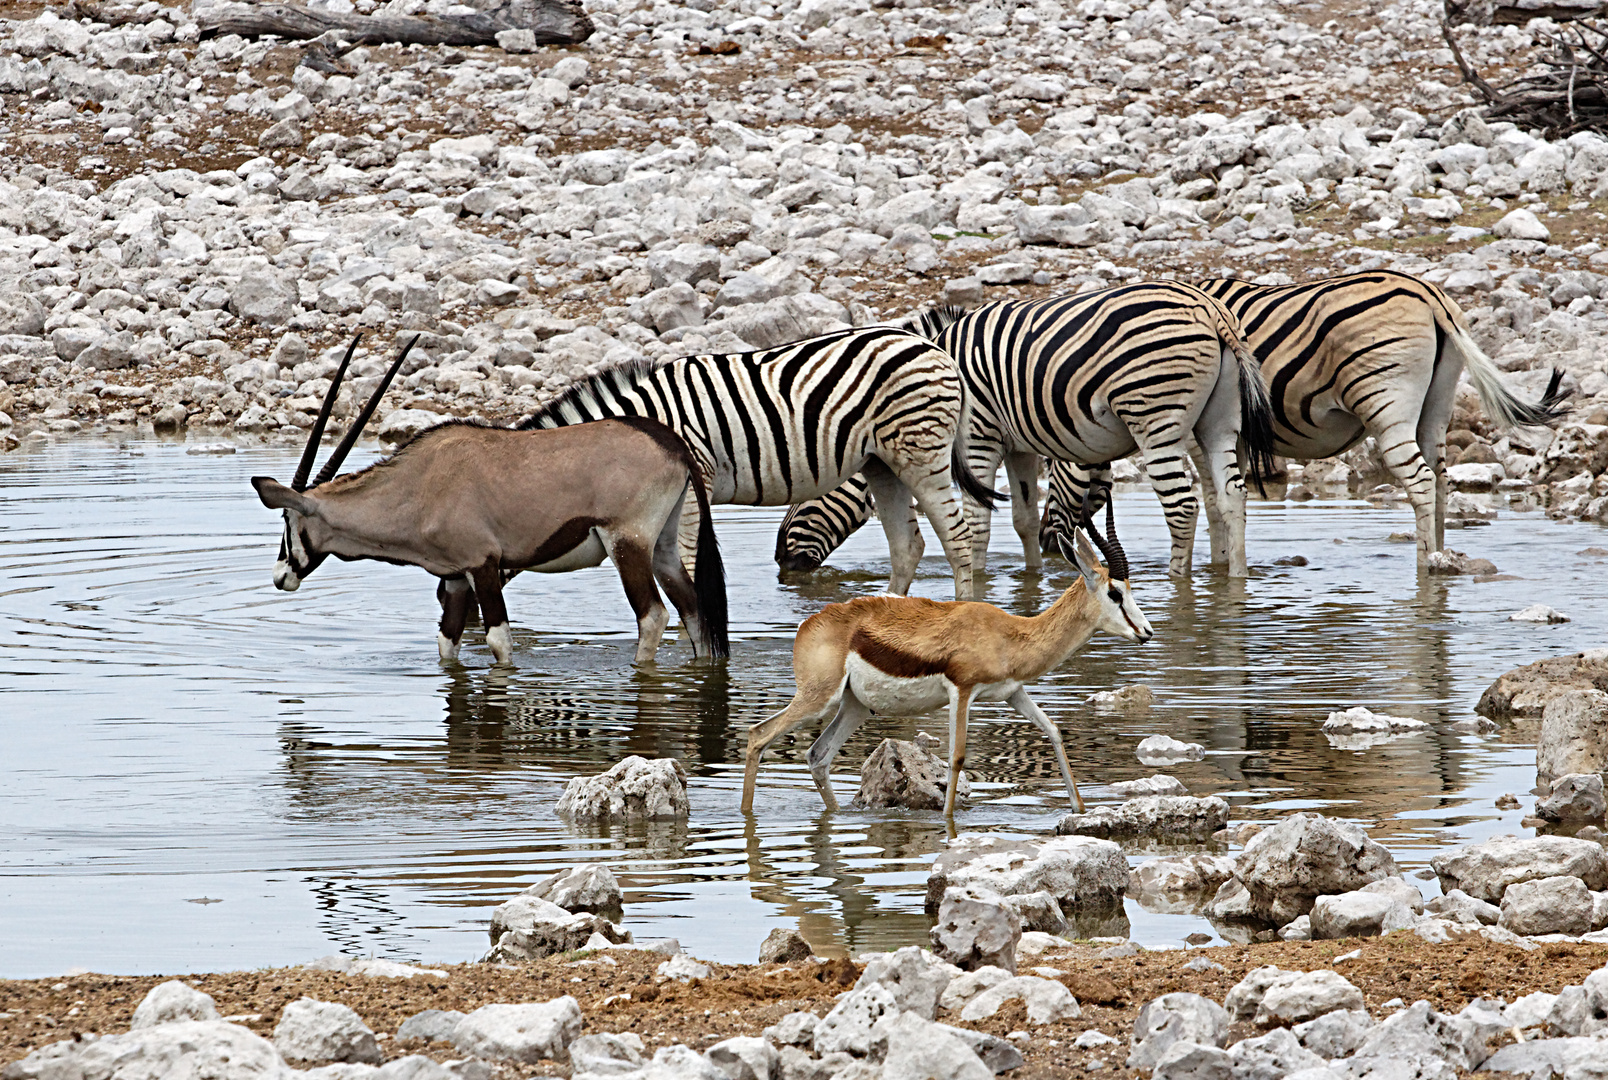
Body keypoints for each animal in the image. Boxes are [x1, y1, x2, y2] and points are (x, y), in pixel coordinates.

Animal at [514, 324, 996, 604]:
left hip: (920, 452)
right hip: (882, 462)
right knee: (907, 546)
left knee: (957, 537)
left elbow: (686, 565)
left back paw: (965, 615)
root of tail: (935, 348)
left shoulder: (694, 485)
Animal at [771, 282, 1273, 578]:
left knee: (1183, 506)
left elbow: (976, 525)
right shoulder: (1019, 446)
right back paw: (1236, 582)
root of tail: (1209, 309)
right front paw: (1031, 582)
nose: (780, 561)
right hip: (1218, 422)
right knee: (1231, 497)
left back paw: (1177, 587)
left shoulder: (977, 436)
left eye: (810, 492)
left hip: (1156, 417)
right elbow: (1024, 519)